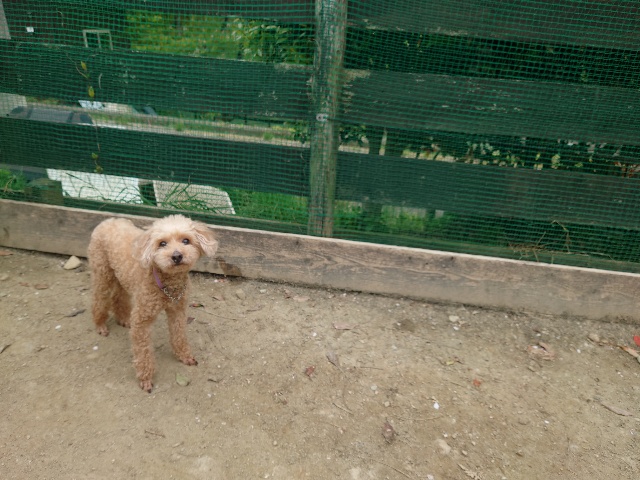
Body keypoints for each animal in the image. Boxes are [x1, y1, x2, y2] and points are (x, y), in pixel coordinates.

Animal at [88, 215, 218, 392]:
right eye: (162, 243)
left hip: (122, 276)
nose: (176, 256)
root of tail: (108, 220)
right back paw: (100, 324)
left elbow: (179, 335)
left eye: (186, 240)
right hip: (103, 272)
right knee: (99, 298)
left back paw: (123, 318)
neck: (167, 283)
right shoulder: (142, 320)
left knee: (119, 296)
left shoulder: (177, 311)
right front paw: (145, 378)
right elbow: (143, 352)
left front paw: (184, 356)